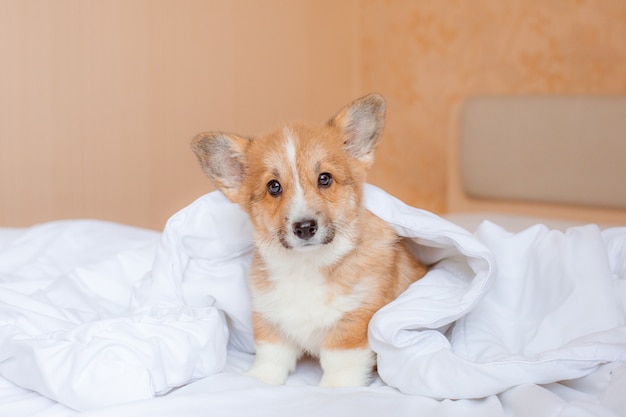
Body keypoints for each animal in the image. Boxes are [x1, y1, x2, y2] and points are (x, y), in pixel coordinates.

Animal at [190, 94, 424, 386]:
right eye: (273, 186)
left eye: (325, 178)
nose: (304, 228)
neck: (307, 265)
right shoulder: (270, 317)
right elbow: (271, 355)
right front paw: (259, 380)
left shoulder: (354, 321)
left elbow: (340, 363)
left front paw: (334, 389)